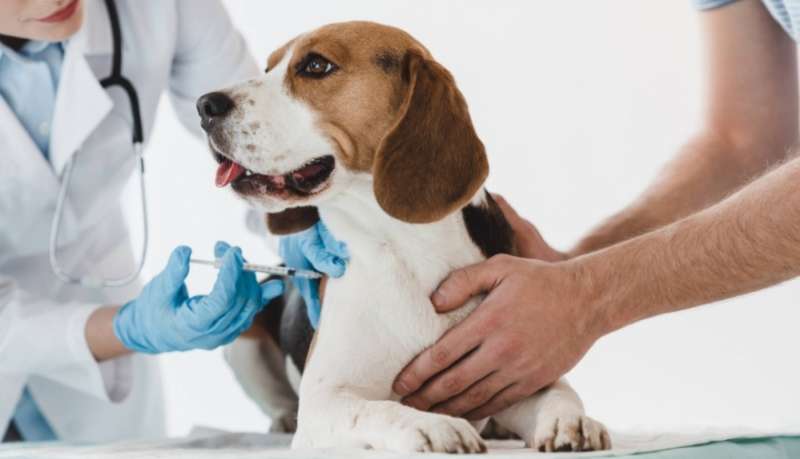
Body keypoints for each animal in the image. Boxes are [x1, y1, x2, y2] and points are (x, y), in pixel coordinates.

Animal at [197, 20, 608, 452]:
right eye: (267, 68)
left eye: (315, 65)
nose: (205, 105)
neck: (405, 250)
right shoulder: (327, 399)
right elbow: (379, 409)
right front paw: (434, 425)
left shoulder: (514, 366)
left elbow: (559, 392)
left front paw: (571, 421)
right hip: (243, 339)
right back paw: (282, 419)